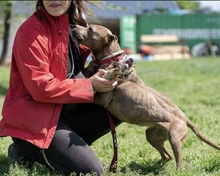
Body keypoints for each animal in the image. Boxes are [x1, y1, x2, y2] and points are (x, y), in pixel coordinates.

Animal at [71, 24, 219, 169]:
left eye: (90, 28)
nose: (73, 26)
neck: (111, 59)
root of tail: (185, 118)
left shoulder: (103, 99)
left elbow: (92, 92)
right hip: (152, 134)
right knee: (167, 156)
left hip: (174, 137)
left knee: (178, 162)